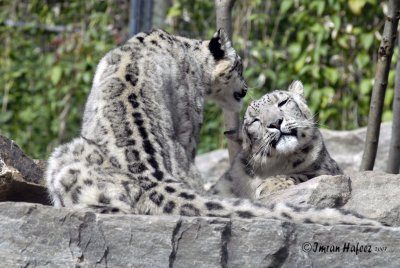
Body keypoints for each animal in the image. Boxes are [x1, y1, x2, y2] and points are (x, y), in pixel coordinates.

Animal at [212, 80, 344, 200]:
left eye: (282, 102)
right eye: (254, 120)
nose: (275, 122)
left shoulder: (327, 169)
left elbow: (304, 174)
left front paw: (268, 186)